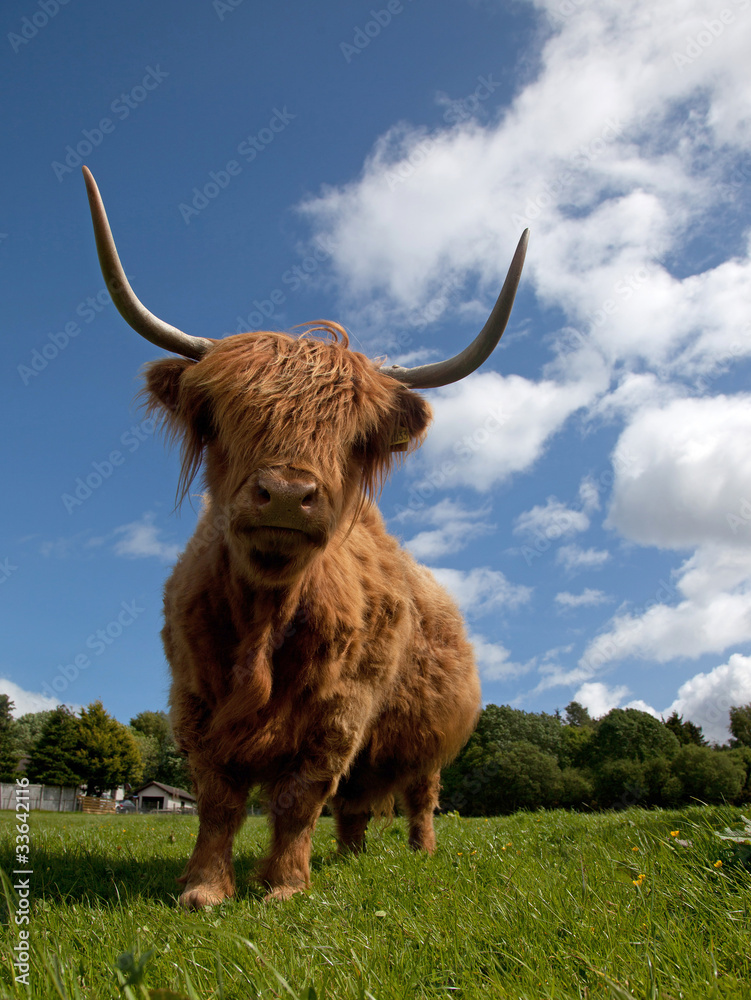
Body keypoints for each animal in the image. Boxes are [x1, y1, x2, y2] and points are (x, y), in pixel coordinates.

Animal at [82, 166, 528, 908]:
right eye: (224, 417)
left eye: (353, 439)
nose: (289, 494)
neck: (266, 617)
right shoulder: (194, 702)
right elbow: (219, 800)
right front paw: (203, 889)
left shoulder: (340, 712)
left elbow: (298, 797)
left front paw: (285, 888)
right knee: (354, 809)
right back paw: (348, 856)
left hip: (426, 737)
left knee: (417, 797)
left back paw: (419, 854)